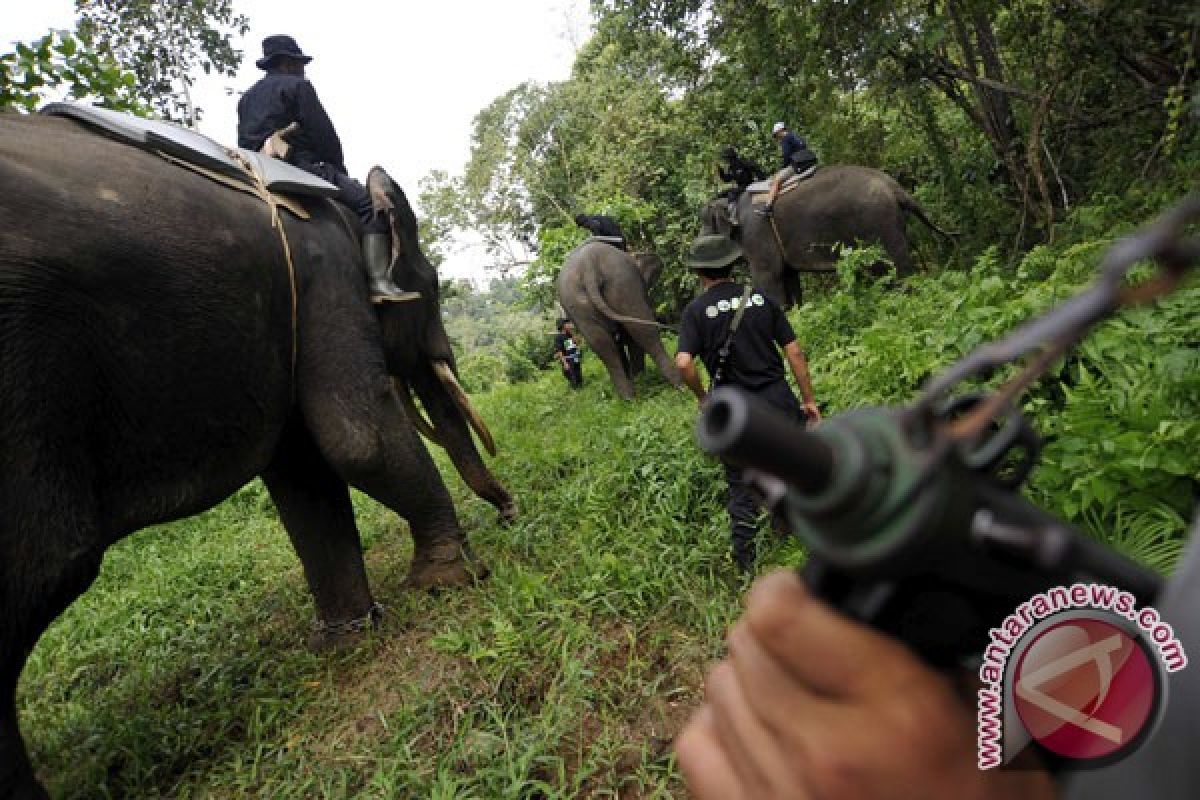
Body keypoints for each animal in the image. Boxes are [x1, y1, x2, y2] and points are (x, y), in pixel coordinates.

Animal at [0, 110, 511, 800]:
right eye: (429, 286)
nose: (510, 511)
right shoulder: (324, 277)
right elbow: (357, 436)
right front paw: (453, 580)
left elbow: (304, 473)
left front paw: (347, 641)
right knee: (42, 574)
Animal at [554, 239, 681, 398]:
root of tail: (588, 266)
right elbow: (630, 339)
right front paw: (639, 377)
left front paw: (634, 378)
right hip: (623, 283)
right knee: (644, 332)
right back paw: (679, 385)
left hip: (577, 302)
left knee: (603, 345)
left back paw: (628, 397)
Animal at [700, 164, 950, 309]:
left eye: (704, 224)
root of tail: (895, 188)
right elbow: (789, 277)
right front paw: (798, 314)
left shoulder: (757, 233)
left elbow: (768, 277)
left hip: (878, 222)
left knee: (894, 266)